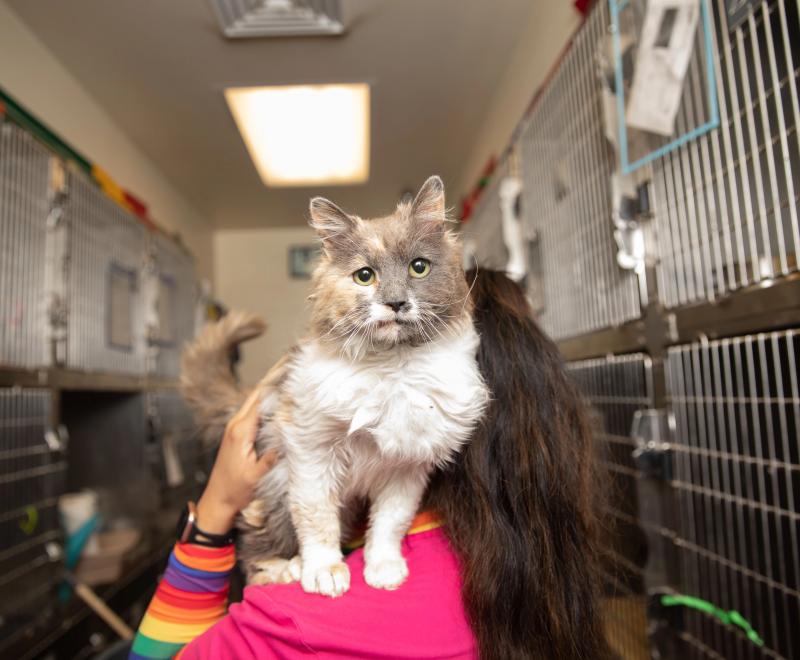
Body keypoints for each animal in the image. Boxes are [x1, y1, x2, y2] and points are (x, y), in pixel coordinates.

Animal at [183, 175, 488, 600]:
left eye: (419, 268)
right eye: (365, 276)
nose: (396, 303)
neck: (393, 368)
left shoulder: (408, 468)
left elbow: (390, 524)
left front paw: (384, 568)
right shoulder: (310, 449)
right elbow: (317, 521)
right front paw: (325, 571)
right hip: (273, 490)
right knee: (254, 547)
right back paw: (285, 569)